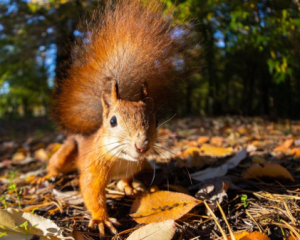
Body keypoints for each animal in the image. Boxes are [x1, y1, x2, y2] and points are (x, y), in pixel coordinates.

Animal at [46, 0, 179, 236]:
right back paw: (50, 175)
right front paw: (102, 219)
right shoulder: (93, 166)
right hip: (68, 149)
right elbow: (91, 190)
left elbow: (127, 179)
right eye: (113, 121)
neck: (121, 159)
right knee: (56, 161)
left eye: (155, 121)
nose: (142, 146)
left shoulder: (133, 167)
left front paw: (131, 188)